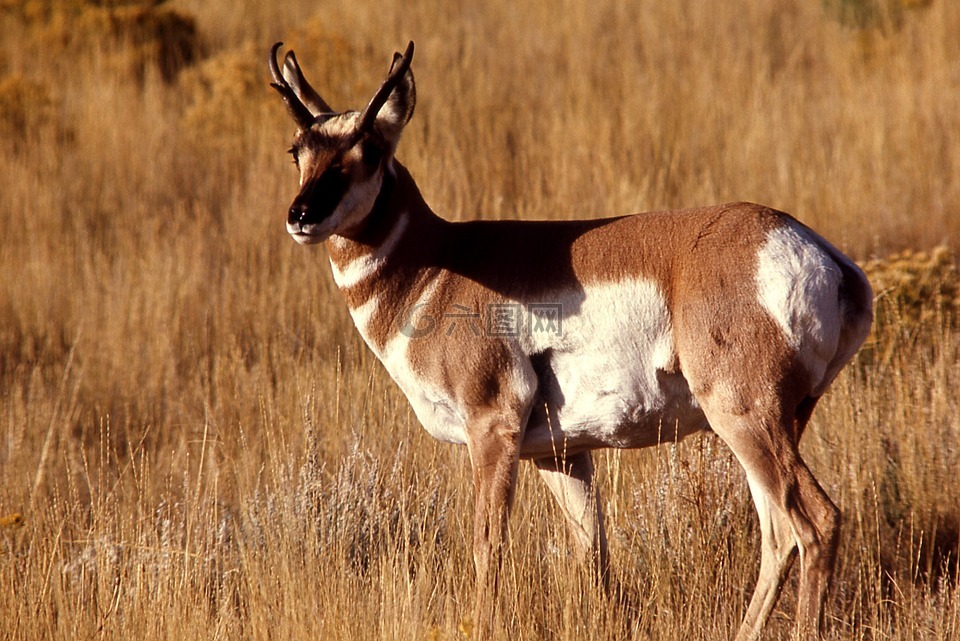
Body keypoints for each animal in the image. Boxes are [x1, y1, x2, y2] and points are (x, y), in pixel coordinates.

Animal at [266, 42, 872, 636]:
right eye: (298, 151)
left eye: (366, 152)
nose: (300, 215)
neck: (438, 264)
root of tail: (819, 252)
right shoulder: (560, 455)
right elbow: (594, 554)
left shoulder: (493, 429)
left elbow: (488, 549)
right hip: (775, 425)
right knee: (778, 535)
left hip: (745, 417)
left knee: (815, 523)